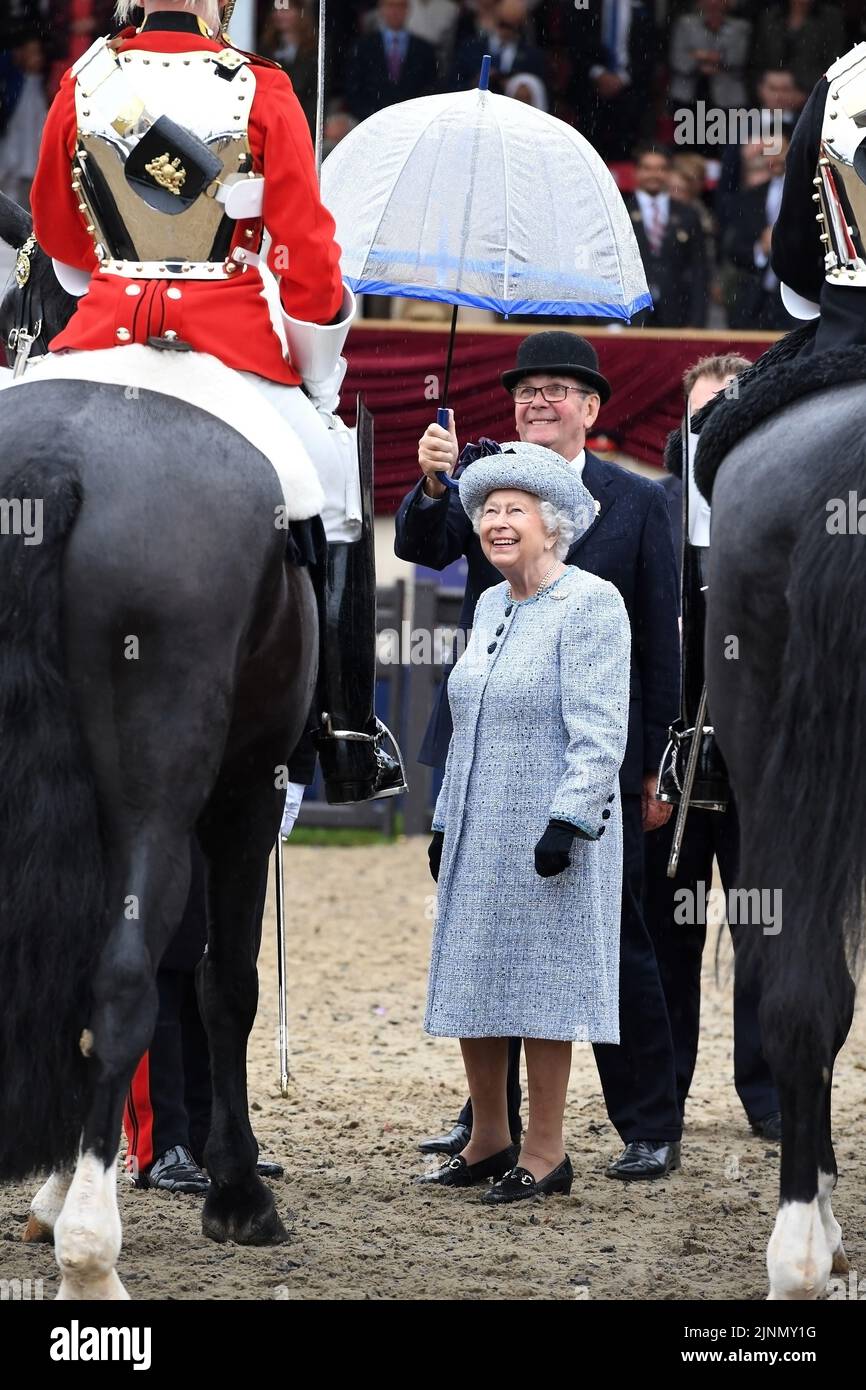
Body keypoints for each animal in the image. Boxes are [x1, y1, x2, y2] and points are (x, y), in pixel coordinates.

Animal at [0, 190, 318, 1295]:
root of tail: (63, 461)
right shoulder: (245, 795)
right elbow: (226, 986)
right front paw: (239, 1194)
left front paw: (48, 1192)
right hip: (165, 801)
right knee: (131, 976)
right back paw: (94, 1255)